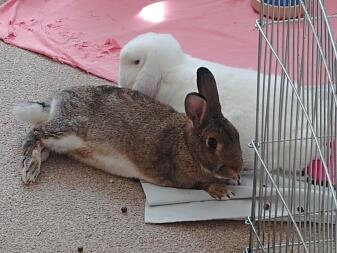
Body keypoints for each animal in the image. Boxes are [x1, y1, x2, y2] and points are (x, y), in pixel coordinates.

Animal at [13, 66, 242, 200]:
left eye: (236, 134)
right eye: (212, 143)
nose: (237, 168)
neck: (186, 144)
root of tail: (57, 101)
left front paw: (234, 180)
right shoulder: (181, 177)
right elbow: (203, 183)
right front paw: (224, 191)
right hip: (71, 131)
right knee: (36, 132)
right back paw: (30, 168)